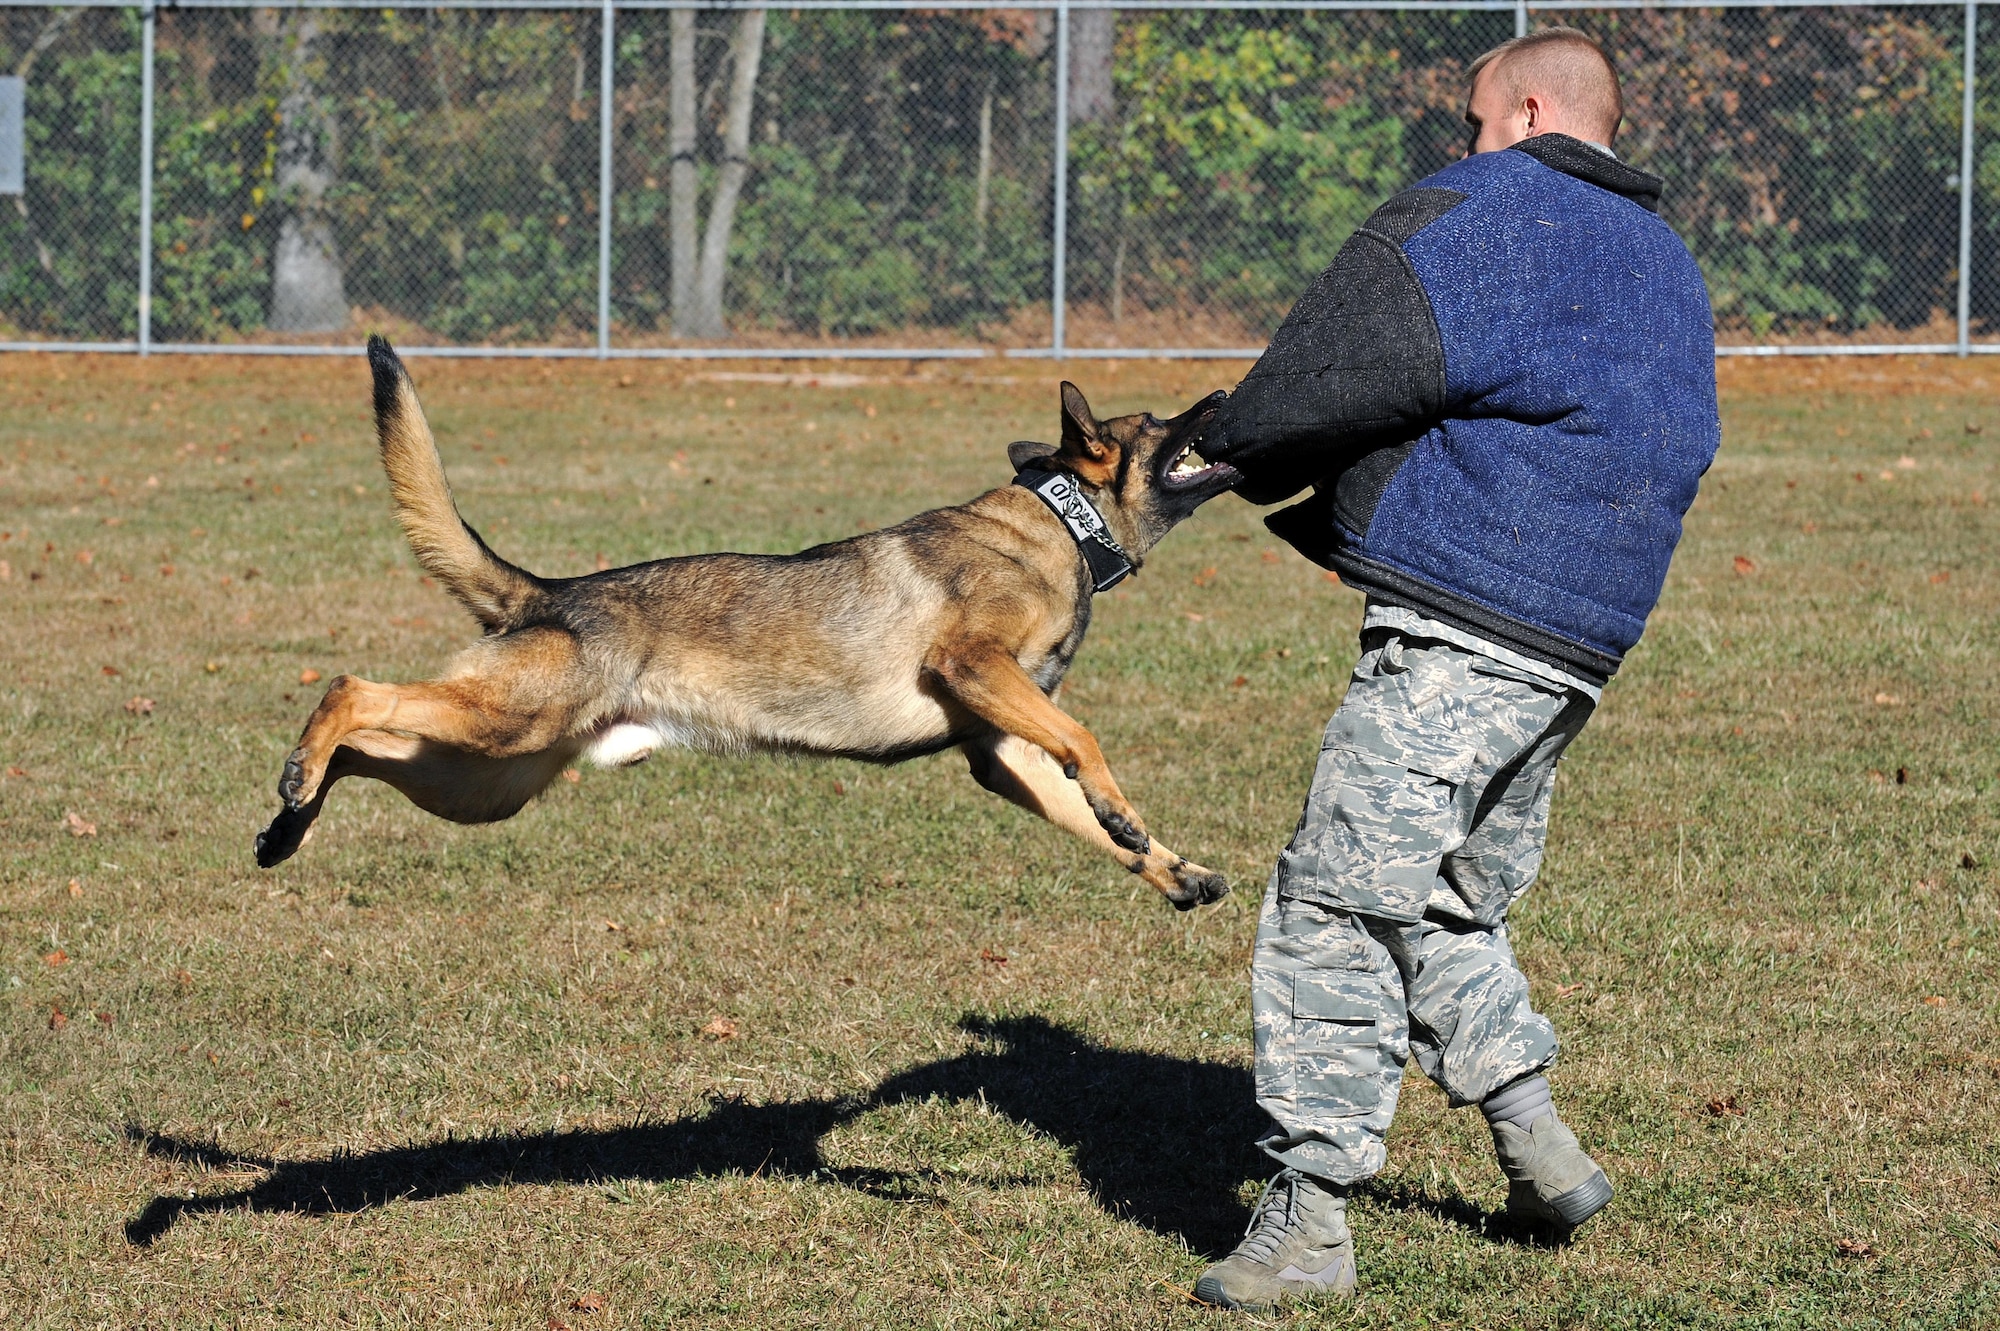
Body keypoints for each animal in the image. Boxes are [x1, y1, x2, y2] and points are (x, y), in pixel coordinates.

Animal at [258, 337, 1240, 907]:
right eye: (1158, 419)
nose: (1226, 395)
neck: (1059, 523)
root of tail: (549, 593)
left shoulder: (1000, 749)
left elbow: (1088, 805)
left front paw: (1168, 865)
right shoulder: (972, 666)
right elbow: (1086, 742)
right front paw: (1120, 809)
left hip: (481, 779)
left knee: (365, 749)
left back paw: (288, 824)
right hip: (503, 725)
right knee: (350, 688)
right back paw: (300, 770)